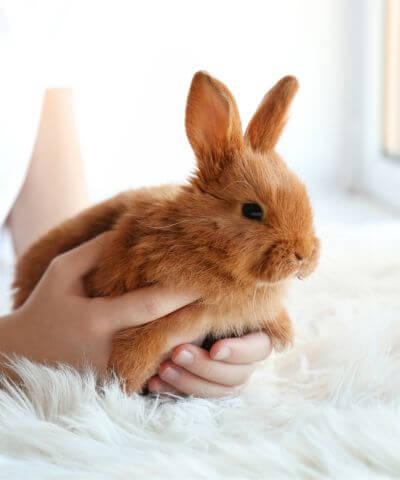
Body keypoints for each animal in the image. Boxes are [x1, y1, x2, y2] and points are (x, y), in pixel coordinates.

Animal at [12, 71, 320, 394]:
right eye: (252, 210)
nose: (304, 255)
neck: (197, 239)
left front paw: (285, 334)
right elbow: (144, 341)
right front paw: (124, 382)